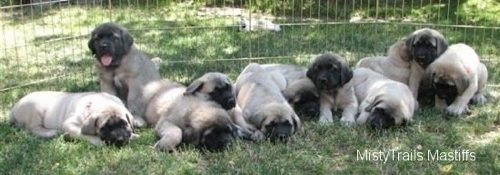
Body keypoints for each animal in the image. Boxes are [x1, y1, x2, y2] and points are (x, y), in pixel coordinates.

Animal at [9, 91, 139, 147]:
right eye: (105, 128)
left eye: (124, 124)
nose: (120, 139)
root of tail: (13, 109)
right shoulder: (70, 124)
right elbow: (84, 134)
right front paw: (98, 141)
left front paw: (133, 135)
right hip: (36, 109)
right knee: (33, 128)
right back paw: (50, 132)